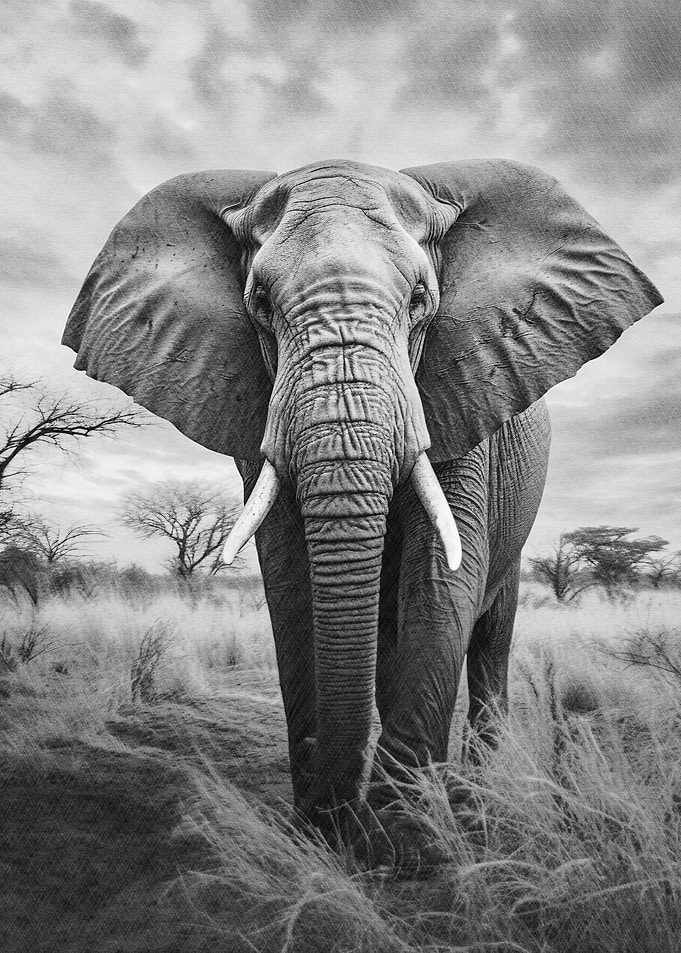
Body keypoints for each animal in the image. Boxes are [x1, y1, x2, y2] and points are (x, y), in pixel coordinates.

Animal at [63, 158, 661, 865]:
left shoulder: (462, 395)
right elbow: (291, 584)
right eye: (259, 303)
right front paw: (320, 833)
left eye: (421, 301)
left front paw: (403, 847)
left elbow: (441, 583)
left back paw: (475, 797)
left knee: (492, 637)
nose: (335, 819)